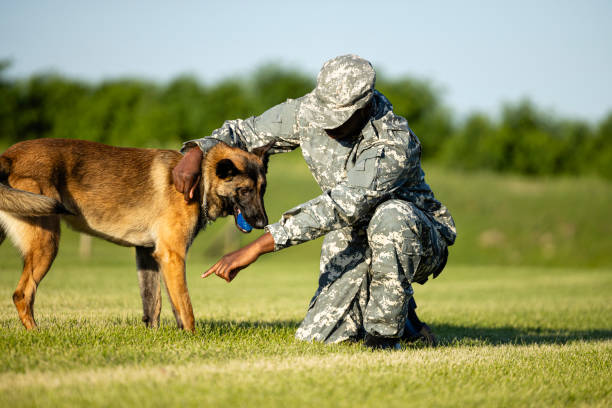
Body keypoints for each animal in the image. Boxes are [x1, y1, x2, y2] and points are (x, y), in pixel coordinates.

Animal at [0, 139, 272, 330]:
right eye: (244, 190)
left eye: (262, 189)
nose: (264, 223)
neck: (201, 180)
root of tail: (8, 156)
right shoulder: (172, 256)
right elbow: (185, 307)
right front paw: (193, 338)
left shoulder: (148, 255)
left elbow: (155, 305)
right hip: (47, 244)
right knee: (22, 294)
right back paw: (37, 333)